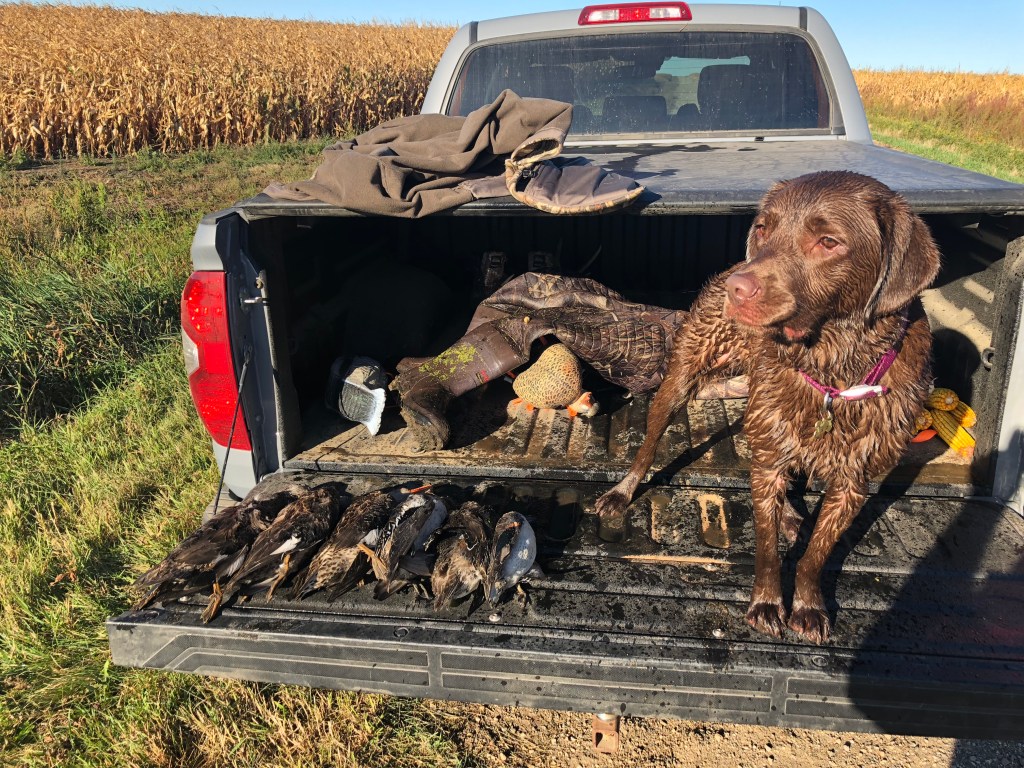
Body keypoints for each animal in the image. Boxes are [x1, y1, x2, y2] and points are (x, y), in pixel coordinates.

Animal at [594, 170, 940, 644]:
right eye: (763, 229)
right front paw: (766, 603)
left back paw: (793, 516)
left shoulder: (853, 483)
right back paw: (623, 491)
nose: (738, 289)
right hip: (682, 378)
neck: (832, 371)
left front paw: (809, 606)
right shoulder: (768, 460)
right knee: (649, 442)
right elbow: (766, 546)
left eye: (829, 242)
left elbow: (815, 556)